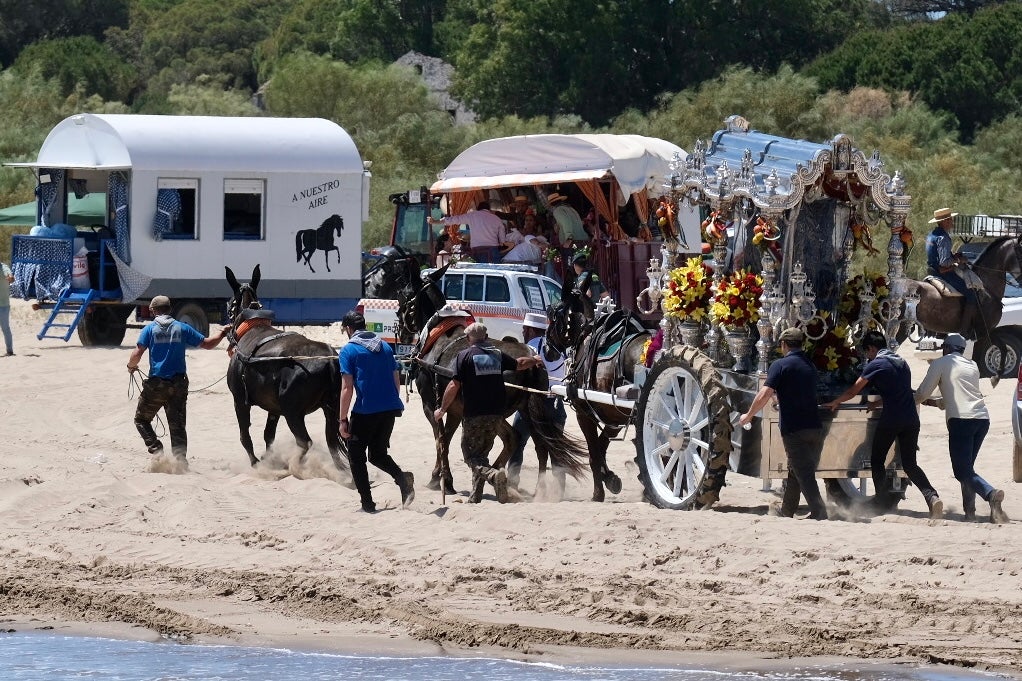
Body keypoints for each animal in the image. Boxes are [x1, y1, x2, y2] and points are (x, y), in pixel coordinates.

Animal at [225, 261, 349, 474]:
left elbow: (245, 436)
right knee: (331, 441)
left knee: (305, 442)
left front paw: (256, 462)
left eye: (230, 303)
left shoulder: (240, 401)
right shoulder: (273, 409)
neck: (252, 326)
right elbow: (268, 435)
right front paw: (268, 458)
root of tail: (328, 359)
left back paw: (295, 465)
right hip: (331, 409)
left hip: (293, 413)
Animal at [394, 267, 588, 496]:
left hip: (495, 411)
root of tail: (531, 361)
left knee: (512, 438)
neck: (438, 334)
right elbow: (446, 439)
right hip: (527, 409)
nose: (400, 328)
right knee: (538, 444)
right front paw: (444, 478)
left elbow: (440, 440)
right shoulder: (455, 409)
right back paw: (530, 486)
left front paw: (441, 479)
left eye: (403, 294)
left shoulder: (432, 406)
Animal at [543, 284, 645, 501]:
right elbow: (601, 444)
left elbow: (594, 452)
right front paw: (610, 478)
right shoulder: (615, 416)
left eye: (553, 316)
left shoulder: (585, 413)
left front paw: (598, 492)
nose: (546, 349)